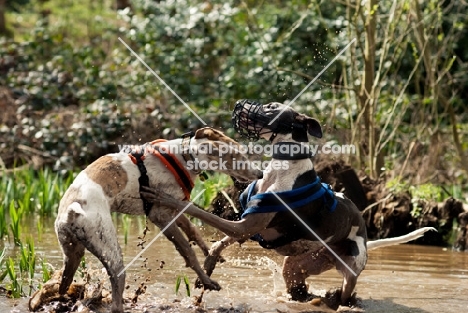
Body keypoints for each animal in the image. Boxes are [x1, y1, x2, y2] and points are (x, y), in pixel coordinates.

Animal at [53, 127, 264, 312]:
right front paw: (206, 280)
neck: (184, 157)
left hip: (72, 254)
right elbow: (188, 251)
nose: (260, 174)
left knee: (64, 283)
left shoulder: (174, 208)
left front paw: (212, 254)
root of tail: (71, 212)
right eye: (237, 158)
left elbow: (193, 231)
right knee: (116, 291)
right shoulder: (160, 216)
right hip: (109, 249)